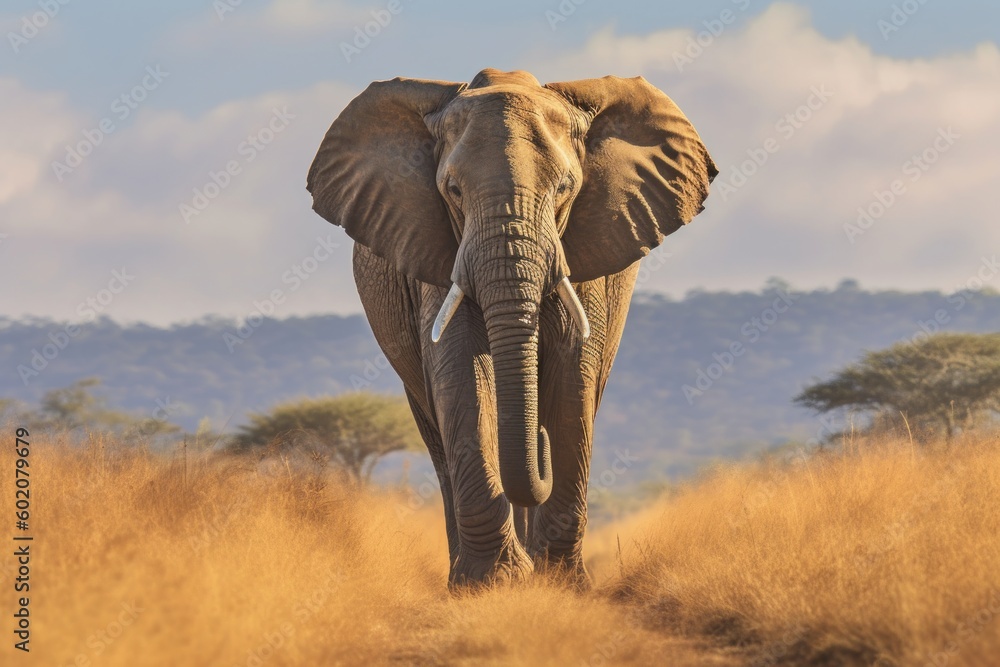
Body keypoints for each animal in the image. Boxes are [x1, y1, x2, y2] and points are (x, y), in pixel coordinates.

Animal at [307, 68, 716, 587]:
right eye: (453, 190)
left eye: (564, 188)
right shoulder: (436, 250)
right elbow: (461, 372)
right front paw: (493, 583)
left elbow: (572, 372)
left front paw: (561, 583)